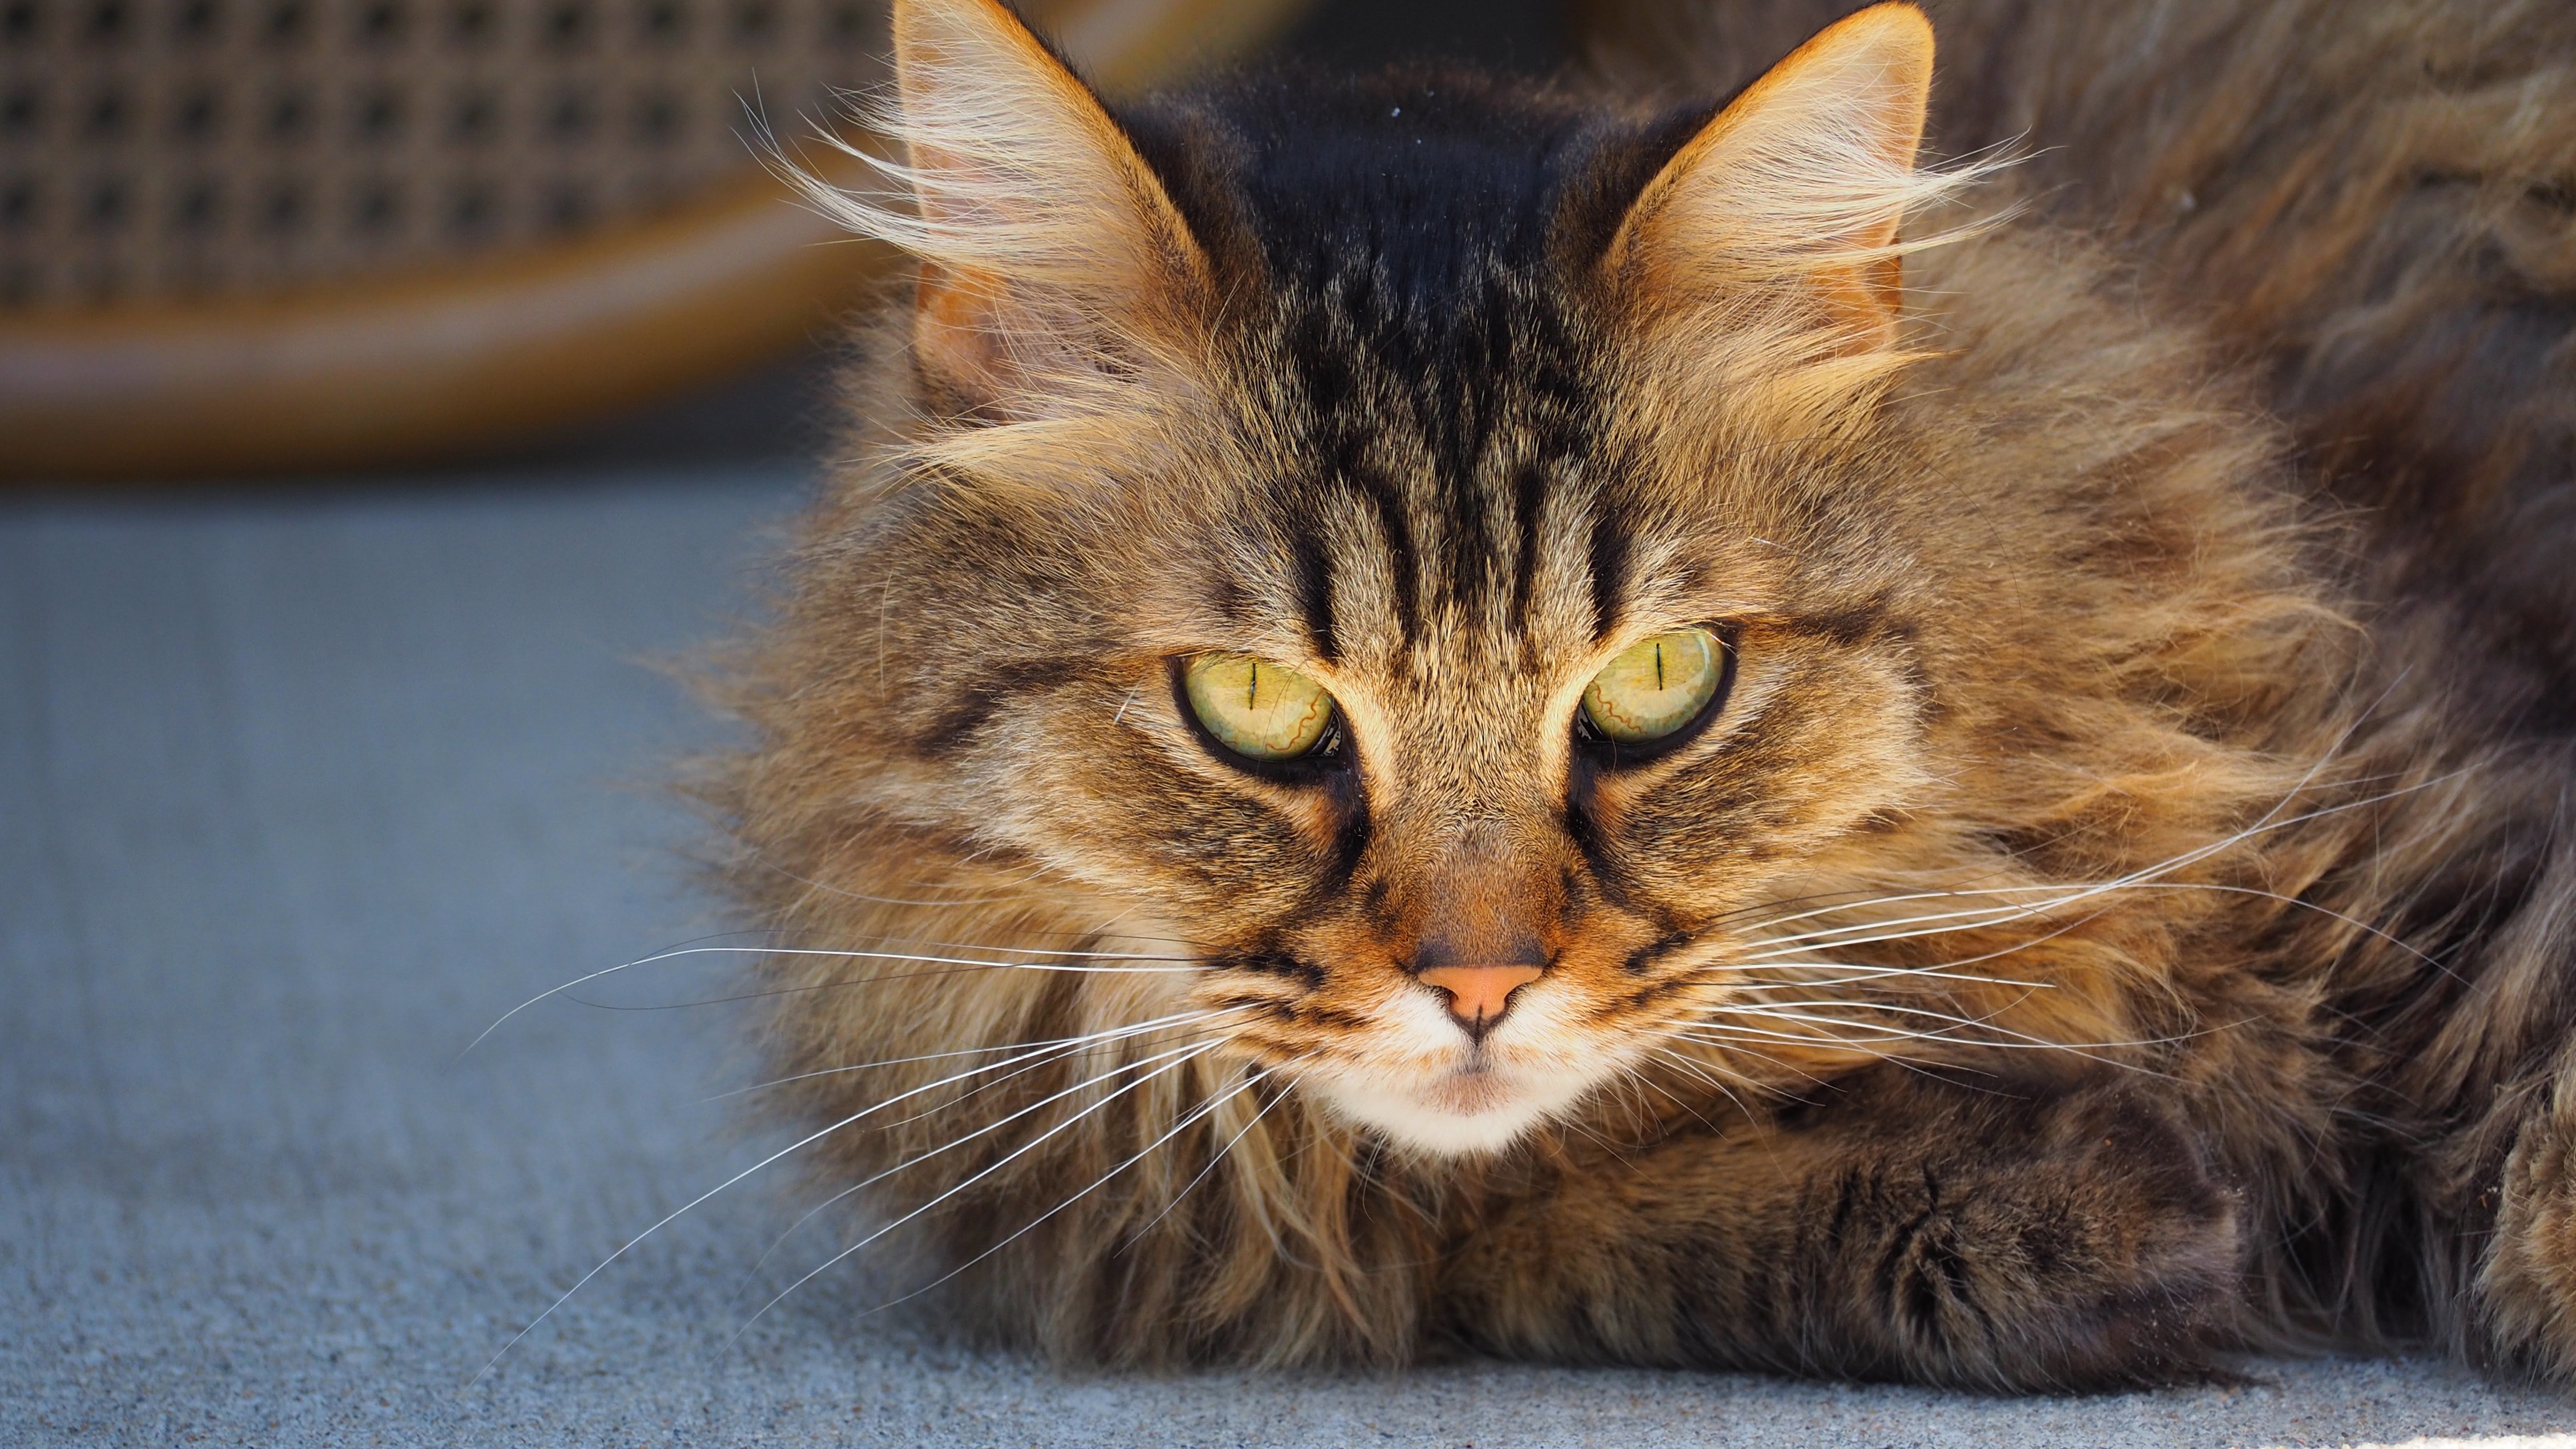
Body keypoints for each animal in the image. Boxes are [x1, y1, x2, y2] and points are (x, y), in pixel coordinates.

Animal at [706, 0, 2576, 1392]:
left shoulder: (2424, 842)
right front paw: (2081, 1224)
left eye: (1661, 683)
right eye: (1253, 704)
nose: (1478, 987)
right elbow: (1519, 1232)